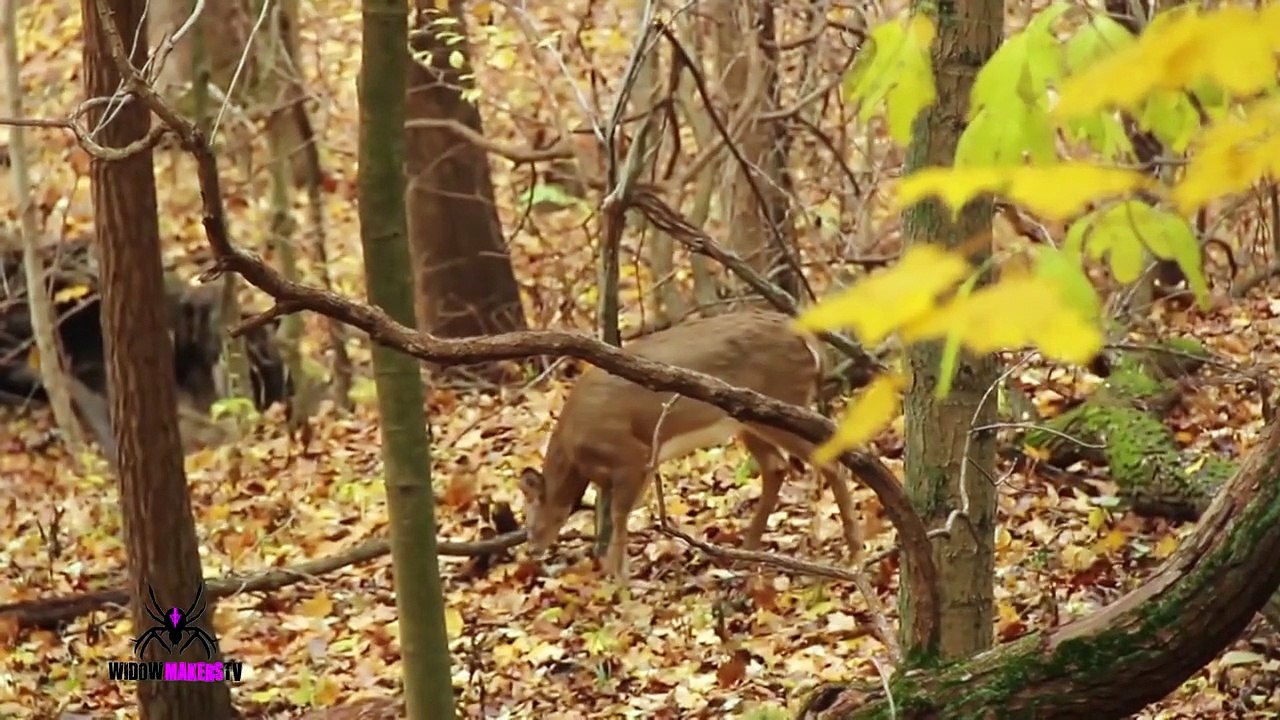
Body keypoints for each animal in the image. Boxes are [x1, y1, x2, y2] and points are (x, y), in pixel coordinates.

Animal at [518, 309, 864, 581]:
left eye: (530, 513)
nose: (532, 549)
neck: (573, 449)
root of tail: (809, 340)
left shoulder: (632, 454)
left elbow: (618, 514)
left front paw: (618, 578)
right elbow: (607, 514)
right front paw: (609, 569)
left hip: (780, 402)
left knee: (828, 462)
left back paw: (854, 551)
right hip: (748, 421)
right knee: (776, 467)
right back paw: (746, 552)